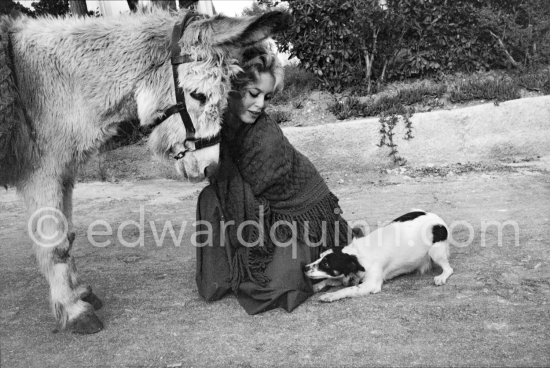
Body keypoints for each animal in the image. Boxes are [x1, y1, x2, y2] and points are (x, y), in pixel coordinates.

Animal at [304, 210, 454, 302]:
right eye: (320, 256)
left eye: (326, 264)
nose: (304, 268)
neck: (359, 255)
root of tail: (438, 219)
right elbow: (329, 280)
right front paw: (317, 287)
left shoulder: (371, 285)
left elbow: (348, 289)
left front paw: (331, 295)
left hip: (435, 252)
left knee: (449, 269)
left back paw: (441, 277)